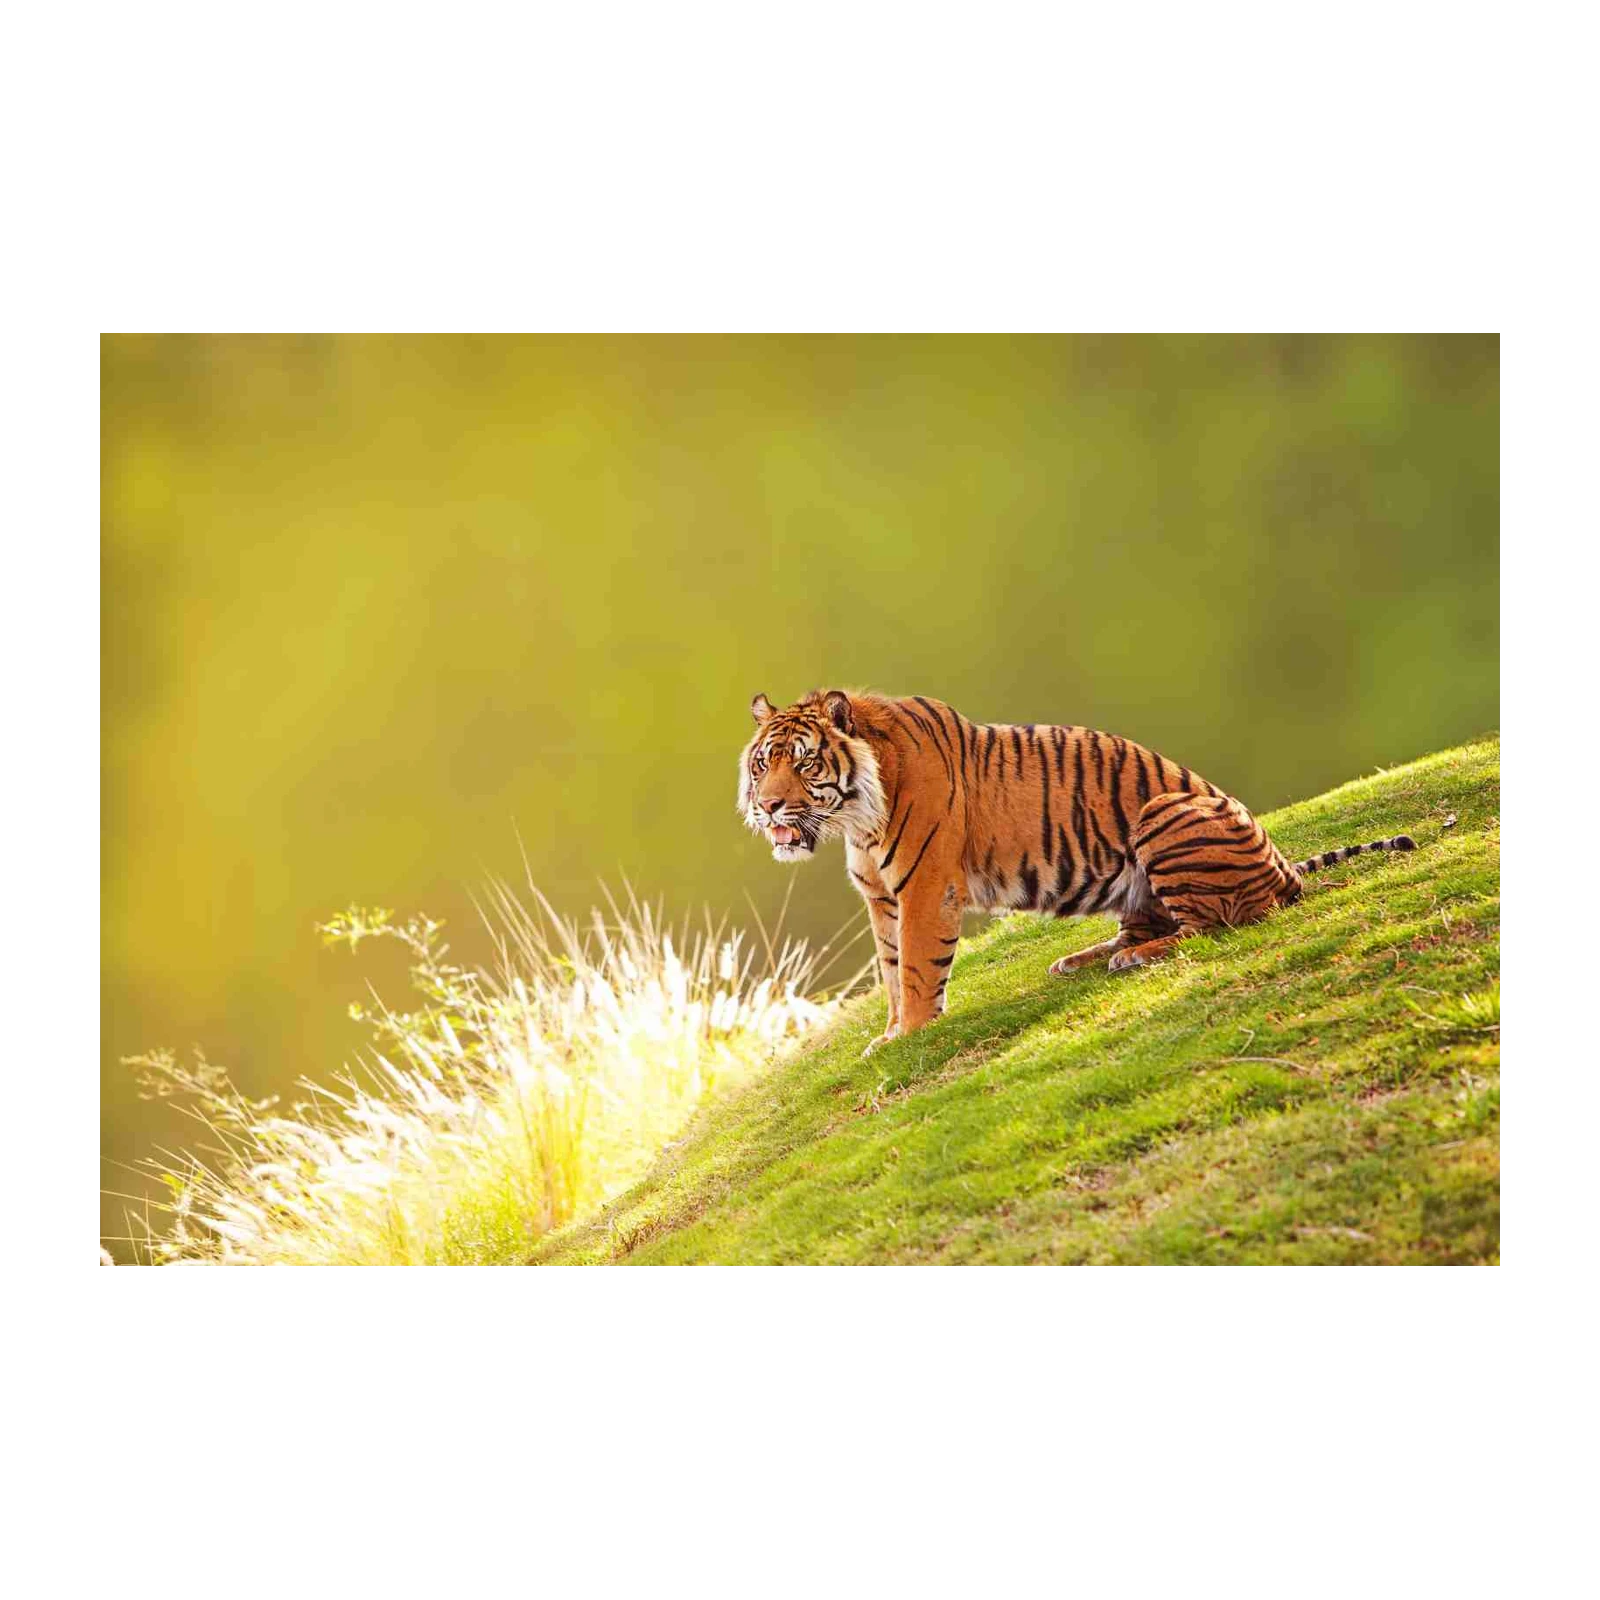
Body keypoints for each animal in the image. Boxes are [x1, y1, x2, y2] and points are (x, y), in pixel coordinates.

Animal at [738, 688, 1416, 1057]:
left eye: (804, 765)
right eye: (763, 765)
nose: (767, 806)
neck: (856, 817)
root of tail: (1281, 865)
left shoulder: (924, 886)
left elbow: (916, 968)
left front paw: (911, 1034)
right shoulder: (881, 897)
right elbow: (889, 968)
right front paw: (888, 1034)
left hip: (1163, 813)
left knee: (1214, 924)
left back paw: (1132, 959)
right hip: (1137, 884)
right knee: (1149, 926)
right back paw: (1080, 959)